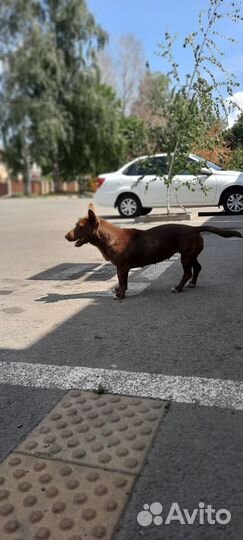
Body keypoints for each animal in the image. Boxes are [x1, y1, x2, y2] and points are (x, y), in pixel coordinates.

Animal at [64, 208, 241, 300]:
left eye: (79, 226)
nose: (66, 236)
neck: (109, 238)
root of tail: (194, 229)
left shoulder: (121, 267)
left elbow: (122, 282)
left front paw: (120, 294)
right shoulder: (122, 269)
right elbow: (123, 282)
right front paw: (120, 291)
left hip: (185, 257)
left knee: (188, 272)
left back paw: (178, 288)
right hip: (190, 255)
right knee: (197, 268)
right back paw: (192, 284)